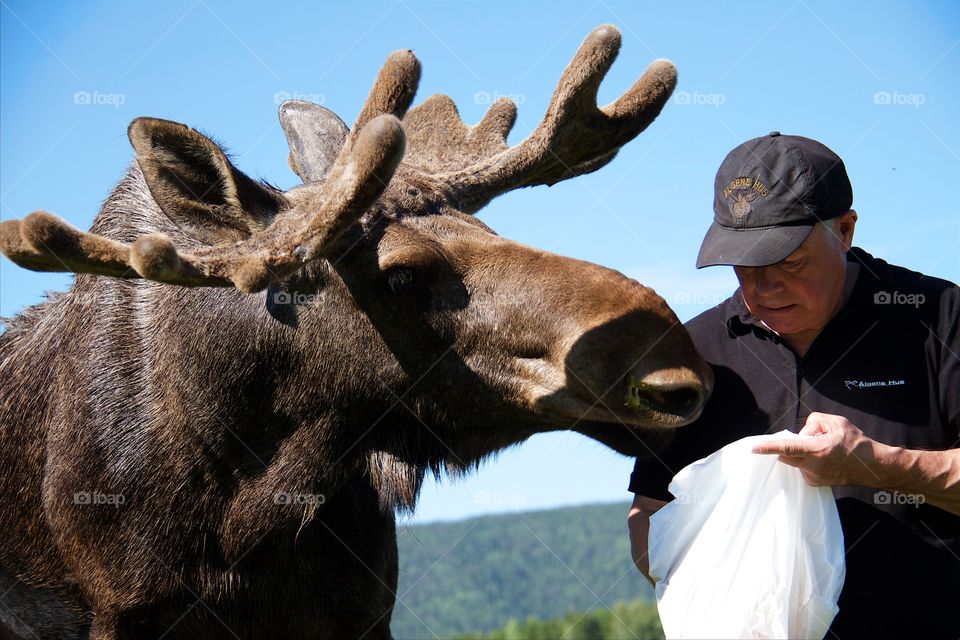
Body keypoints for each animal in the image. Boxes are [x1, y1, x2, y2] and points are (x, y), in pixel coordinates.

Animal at [0, 25, 704, 640]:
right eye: (401, 274)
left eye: (492, 232)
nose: (671, 358)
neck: (251, 508)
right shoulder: (124, 610)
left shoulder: (364, 613)